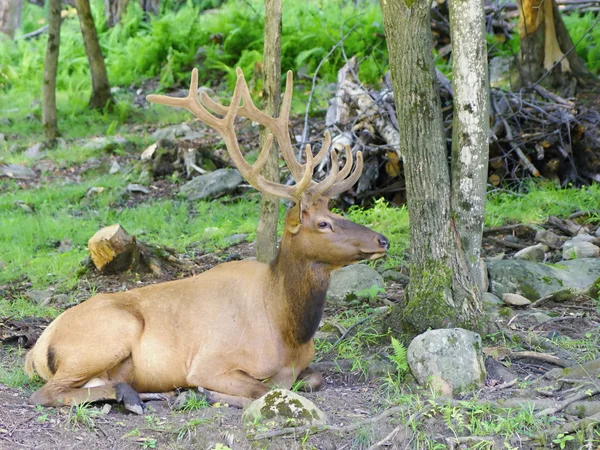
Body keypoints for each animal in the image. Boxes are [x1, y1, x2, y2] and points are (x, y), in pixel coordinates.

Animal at [25, 67, 390, 414]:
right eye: (323, 223)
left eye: (336, 211)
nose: (382, 240)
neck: (288, 329)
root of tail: (36, 349)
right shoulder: (210, 362)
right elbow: (263, 389)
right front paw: (208, 393)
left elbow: (313, 378)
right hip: (109, 335)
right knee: (44, 394)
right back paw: (134, 397)